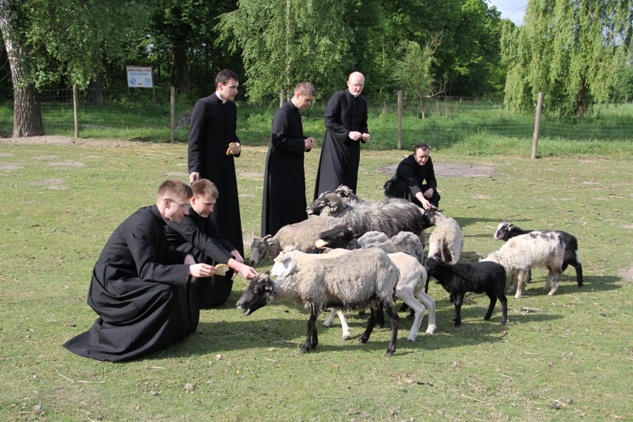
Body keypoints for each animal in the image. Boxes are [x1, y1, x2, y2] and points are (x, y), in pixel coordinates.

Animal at [237, 247, 400, 356]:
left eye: (255, 290)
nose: (239, 304)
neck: (300, 283)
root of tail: (393, 266)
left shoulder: (316, 299)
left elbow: (310, 323)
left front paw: (305, 346)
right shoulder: (314, 301)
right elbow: (313, 324)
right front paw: (313, 344)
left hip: (384, 291)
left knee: (394, 319)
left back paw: (390, 349)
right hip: (372, 296)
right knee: (374, 316)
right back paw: (363, 339)